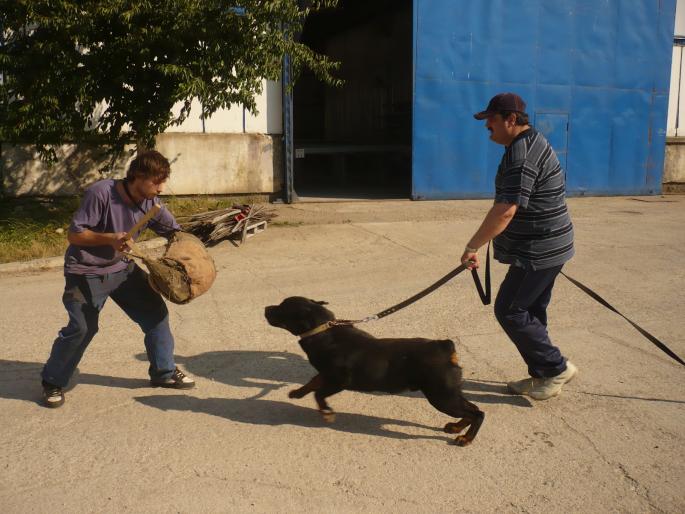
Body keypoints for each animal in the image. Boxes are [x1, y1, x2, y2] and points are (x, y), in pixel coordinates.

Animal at [264, 296, 484, 444]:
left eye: (282, 308)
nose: (266, 307)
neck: (324, 332)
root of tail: (445, 346)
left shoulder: (339, 380)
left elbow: (319, 394)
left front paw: (326, 412)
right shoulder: (327, 374)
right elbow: (313, 382)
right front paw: (298, 392)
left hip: (441, 396)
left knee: (478, 413)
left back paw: (466, 438)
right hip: (448, 392)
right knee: (472, 409)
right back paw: (457, 427)